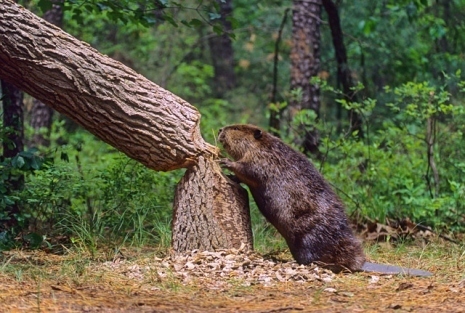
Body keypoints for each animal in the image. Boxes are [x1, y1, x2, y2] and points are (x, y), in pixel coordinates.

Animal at [218, 124, 432, 276]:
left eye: (236, 128)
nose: (220, 130)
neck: (267, 146)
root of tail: (360, 263)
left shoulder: (263, 160)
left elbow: (249, 170)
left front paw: (225, 162)